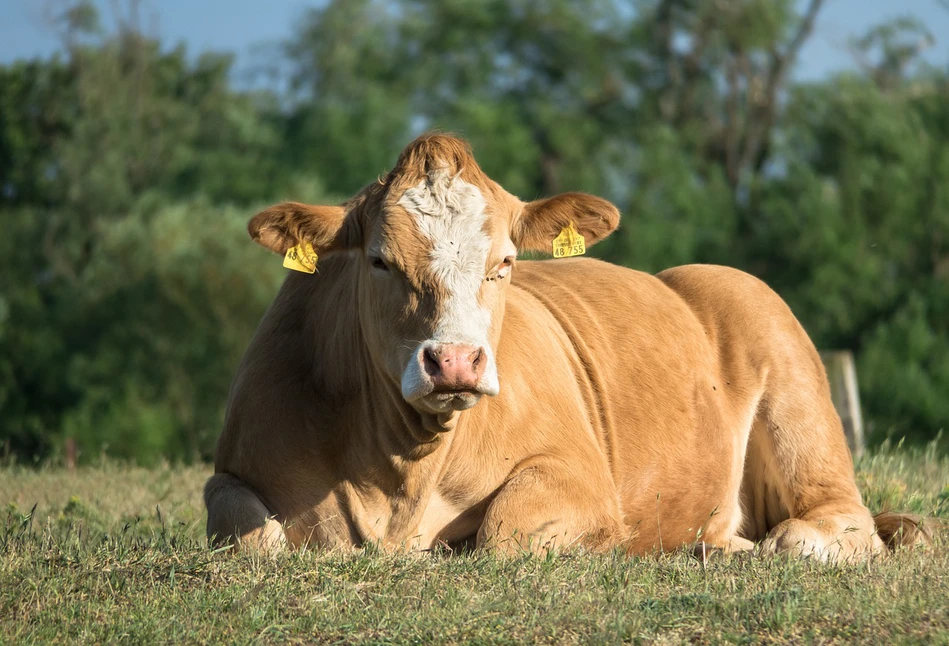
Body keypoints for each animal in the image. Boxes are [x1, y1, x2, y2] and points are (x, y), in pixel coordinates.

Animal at [206, 132, 924, 560]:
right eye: (379, 261)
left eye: (504, 262)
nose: (455, 362)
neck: (394, 475)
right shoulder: (231, 473)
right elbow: (253, 540)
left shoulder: (579, 477)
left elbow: (503, 535)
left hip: (793, 397)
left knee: (820, 530)